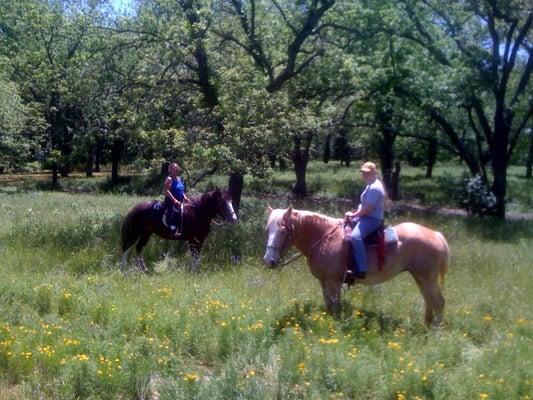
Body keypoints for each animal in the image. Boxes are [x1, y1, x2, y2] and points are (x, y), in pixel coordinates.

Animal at [262, 208, 448, 326]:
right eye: (267, 230)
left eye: (283, 230)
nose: (269, 260)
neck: (324, 237)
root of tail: (437, 235)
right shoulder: (323, 280)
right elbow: (328, 304)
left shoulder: (334, 281)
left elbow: (335, 305)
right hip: (421, 278)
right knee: (429, 300)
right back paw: (426, 325)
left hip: (427, 278)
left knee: (438, 302)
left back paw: (436, 331)